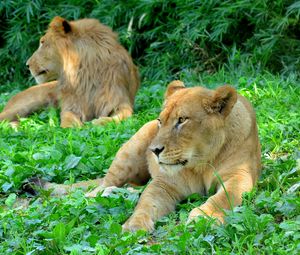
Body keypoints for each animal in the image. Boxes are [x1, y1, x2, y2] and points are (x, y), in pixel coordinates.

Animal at [0, 16, 139, 127]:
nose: (27, 65)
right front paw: (71, 128)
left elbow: (123, 115)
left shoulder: (119, 101)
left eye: (43, 42)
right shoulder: (72, 105)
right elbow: (67, 118)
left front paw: (100, 121)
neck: (86, 73)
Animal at [26, 80, 260, 232]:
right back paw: (104, 195)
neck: (200, 163)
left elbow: (223, 198)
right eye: (160, 121)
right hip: (130, 150)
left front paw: (204, 217)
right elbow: (146, 203)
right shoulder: (164, 183)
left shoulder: (239, 175)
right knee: (98, 188)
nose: (154, 150)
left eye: (182, 120)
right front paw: (133, 225)